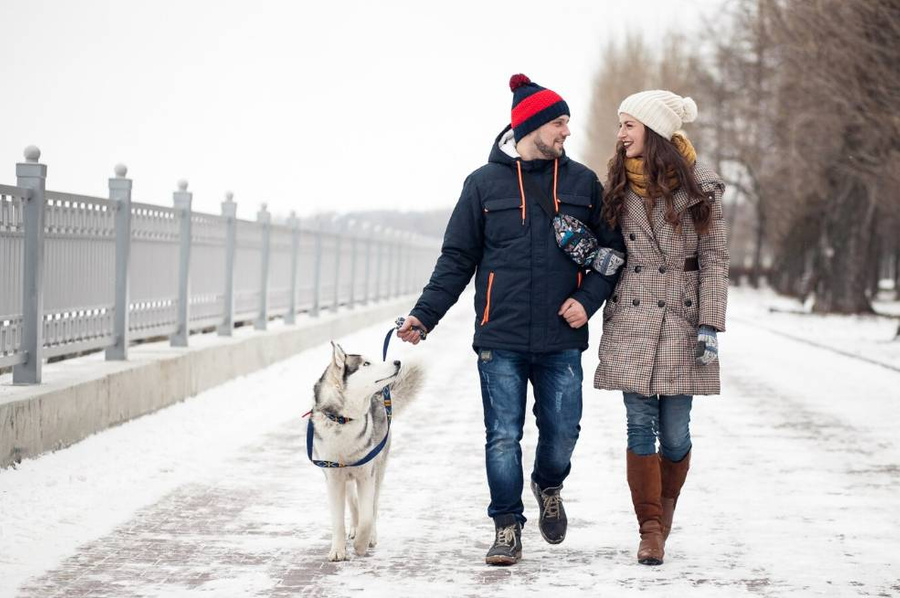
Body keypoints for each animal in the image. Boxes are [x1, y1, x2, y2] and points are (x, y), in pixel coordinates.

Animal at [312, 342, 424, 564]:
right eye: (365, 363)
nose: (397, 361)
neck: (343, 420)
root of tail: (380, 397)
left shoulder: (366, 475)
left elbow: (367, 516)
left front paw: (361, 545)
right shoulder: (333, 478)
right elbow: (338, 520)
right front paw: (338, 550)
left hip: (378, 470)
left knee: (372, 506)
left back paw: (370, 535)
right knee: (353, 501)